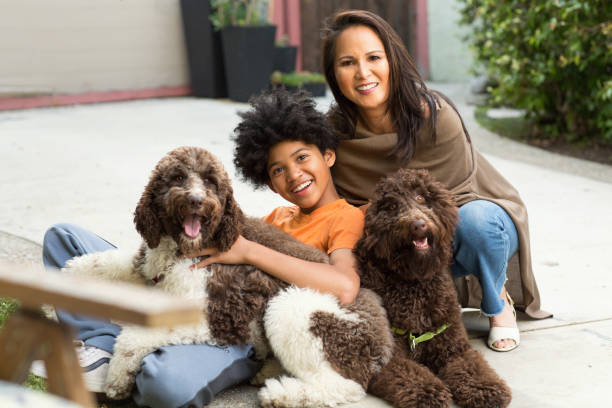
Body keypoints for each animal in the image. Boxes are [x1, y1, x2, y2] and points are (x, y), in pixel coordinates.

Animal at [354, 168, 512, 408]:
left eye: (421, 197)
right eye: (391, 207)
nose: (418, 224)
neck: (415, 284)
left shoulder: (454, 348)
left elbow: (472, 367)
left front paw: (485, 389)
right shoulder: (386, 359)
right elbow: (410, 372)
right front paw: (428, 393)